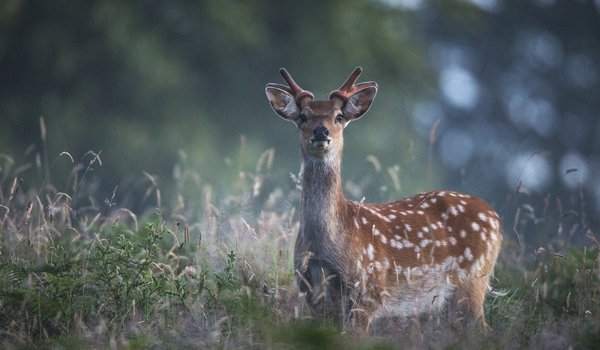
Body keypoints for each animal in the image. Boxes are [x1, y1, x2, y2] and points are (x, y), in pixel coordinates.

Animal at [264, 67, 504, 332]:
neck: (325, 245)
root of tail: (493, 215)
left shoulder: (369, 289)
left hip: (474, 278)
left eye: (339, 117)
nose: (321, 131)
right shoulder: (312, 293)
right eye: (303, 116)